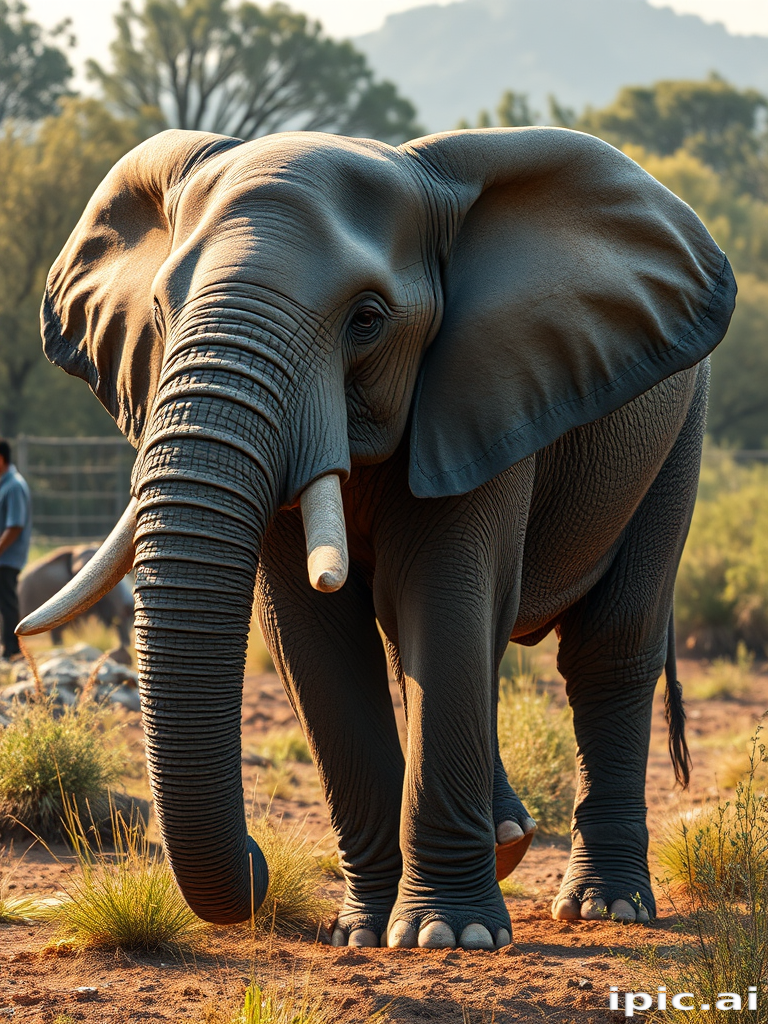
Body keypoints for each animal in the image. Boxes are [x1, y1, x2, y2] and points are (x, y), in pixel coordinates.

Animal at [17, 126, 736, 951]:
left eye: (366, 319)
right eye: (163, 309)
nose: (260, 863)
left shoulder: (478, 393)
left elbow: (446, 598)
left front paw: (449, 937)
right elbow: (314, 638)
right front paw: (363, 932)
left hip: (678, 433)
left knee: (608, 647)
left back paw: (605, 906)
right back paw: (509, 841)